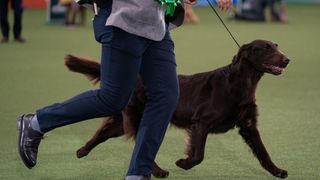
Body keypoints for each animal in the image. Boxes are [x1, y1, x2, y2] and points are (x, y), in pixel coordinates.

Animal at [64, 39, 290, 179]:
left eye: (276, 46)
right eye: (266, 48)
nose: (287, 59)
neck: (239, 84)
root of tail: (135, 79)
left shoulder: (248, 125)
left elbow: (263, 152)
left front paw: (278, 171)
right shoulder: (201, 122)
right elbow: (199, 155)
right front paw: (183, 162)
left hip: (123, 121)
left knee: (103, 133)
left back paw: (81, 151)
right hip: (138, 117)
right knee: (140, 144)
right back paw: (158, 172)